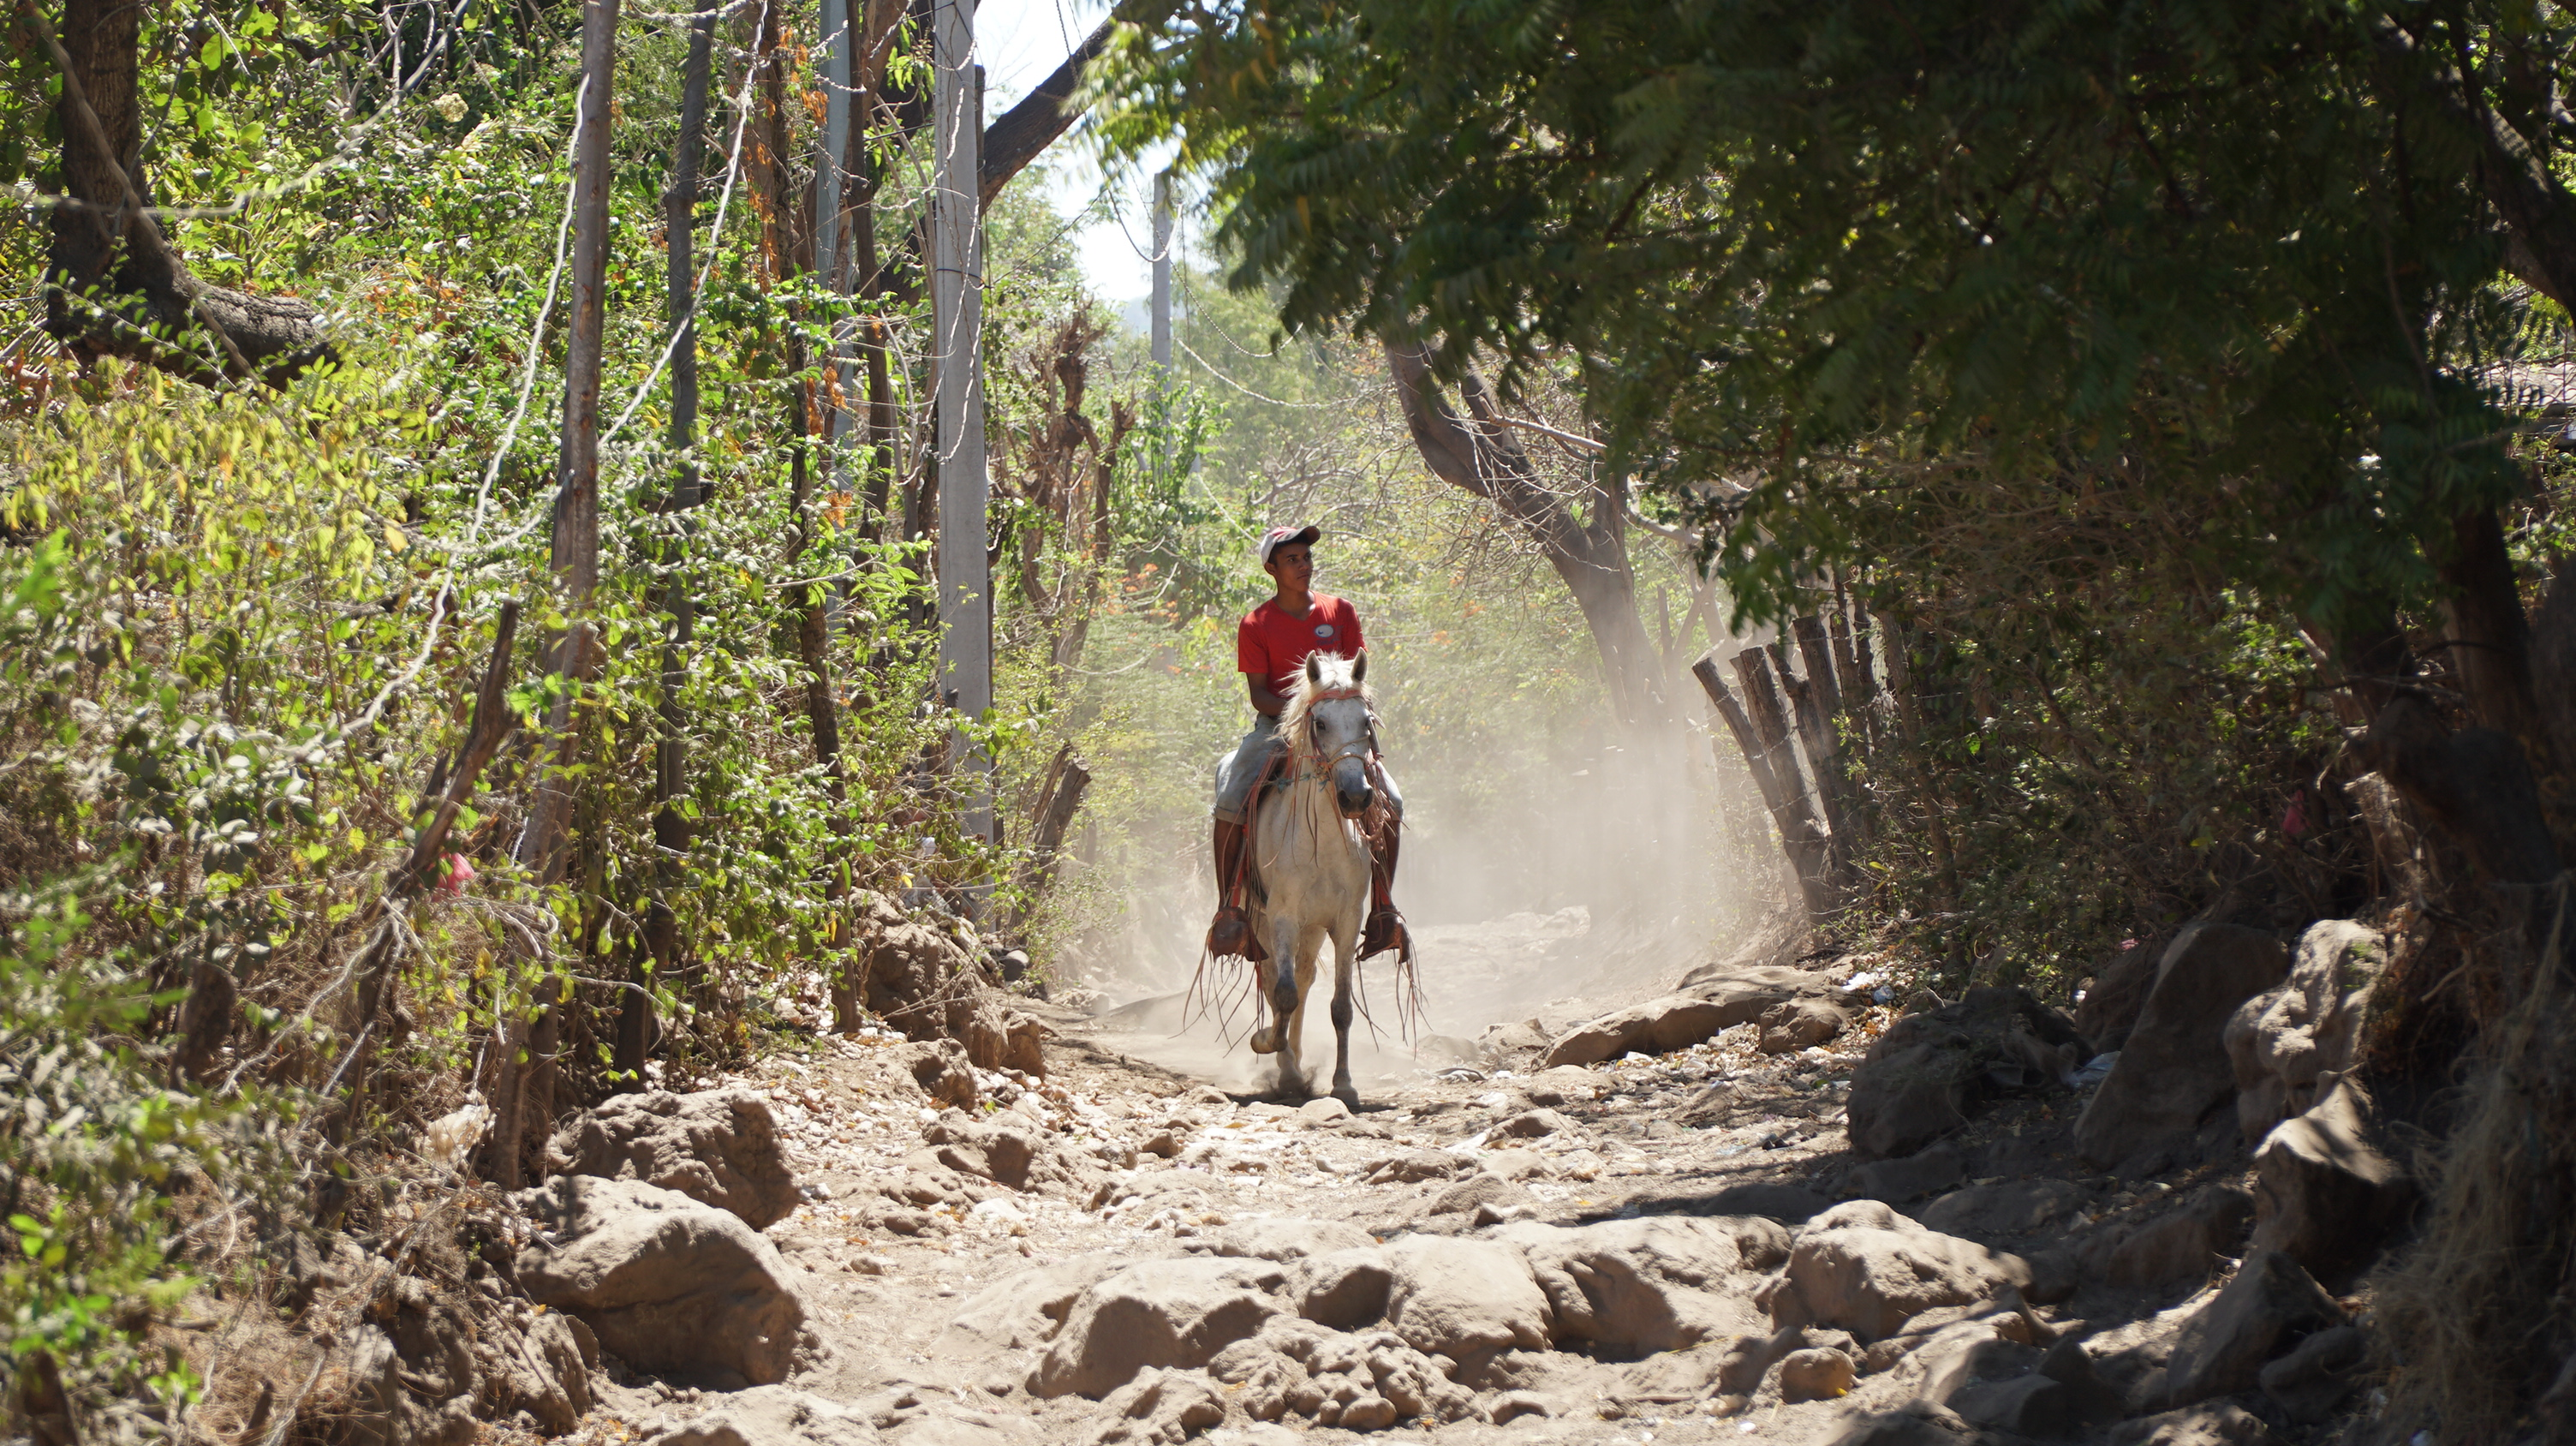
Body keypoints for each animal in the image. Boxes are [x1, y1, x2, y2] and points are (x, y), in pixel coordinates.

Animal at [1236, 649, 1380, 1097]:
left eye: (1366, 721)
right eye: (1320, 723)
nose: (1356, 796)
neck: (1324, 843)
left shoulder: (1346, 921)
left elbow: (1341, 1006)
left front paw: (1344, 1084)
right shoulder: (1282, 915)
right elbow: (1281, 994)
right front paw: (1269, 1046)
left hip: (1312, 929)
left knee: (1302, 978)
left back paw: (1297, 1062)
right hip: (1262, 921)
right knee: (1274, 979)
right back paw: (1286, 1065)